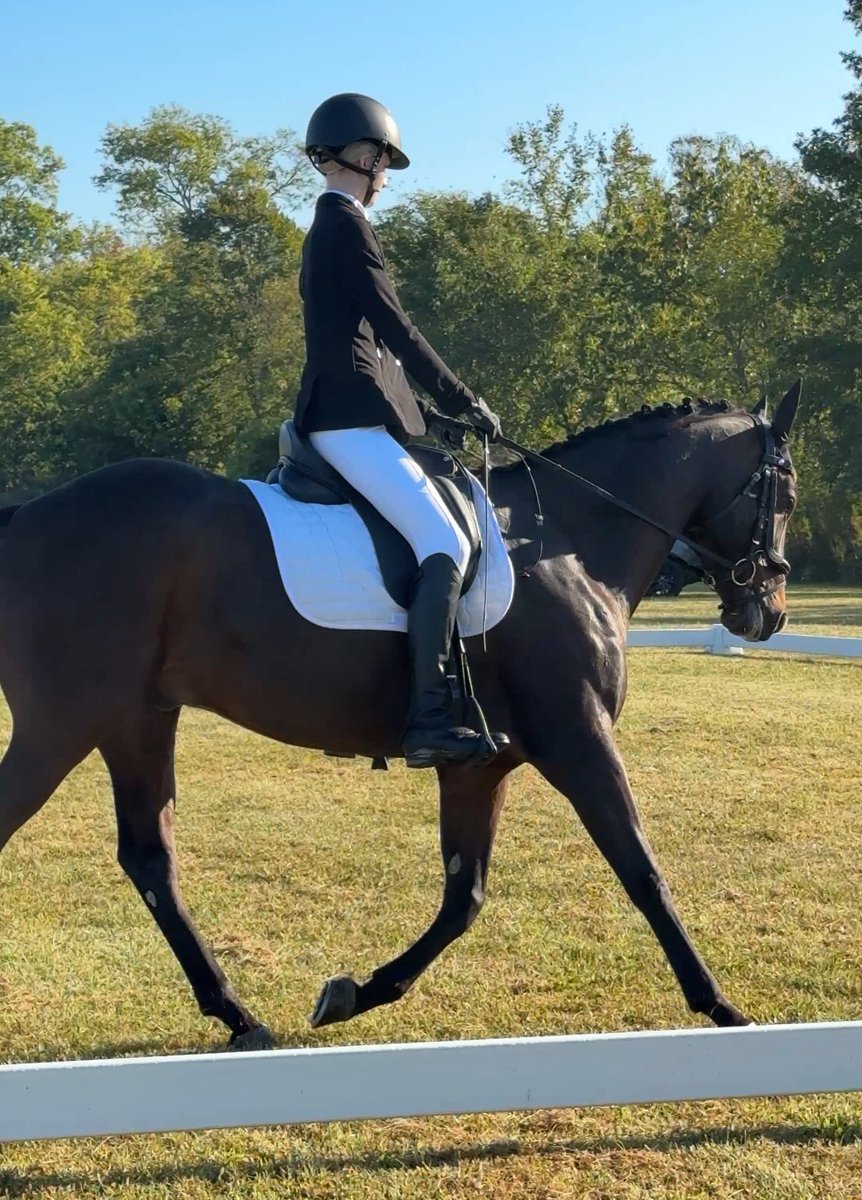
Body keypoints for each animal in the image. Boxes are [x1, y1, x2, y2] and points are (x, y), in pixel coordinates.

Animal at [0, 384, 799, 1050]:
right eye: (785, 491)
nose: (767, 613)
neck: (570, 547)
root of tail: (28, 517)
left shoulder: (481, 764)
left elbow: (463, 898)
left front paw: (352, 993)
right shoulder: (578, 740)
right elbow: (641, 869)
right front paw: (721, 1006)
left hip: (136, 721)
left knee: (151, 859)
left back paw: (238, 1016)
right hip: (63, 723)